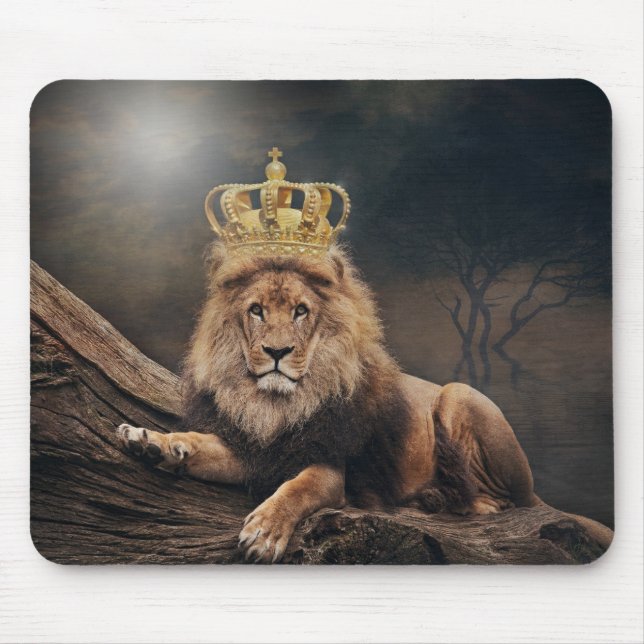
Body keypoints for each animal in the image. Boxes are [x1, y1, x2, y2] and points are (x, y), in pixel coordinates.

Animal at [116, 243, 612, 562]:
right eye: (256, 310)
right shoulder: (258, 450)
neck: (276, 406)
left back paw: (447, 500)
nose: (276, 352)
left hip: (458, 394)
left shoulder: (331, 467)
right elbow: (200, 443)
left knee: (507, 502)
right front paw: (151, 441)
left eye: (300, 311)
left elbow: (298, 489)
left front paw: (265, 532)